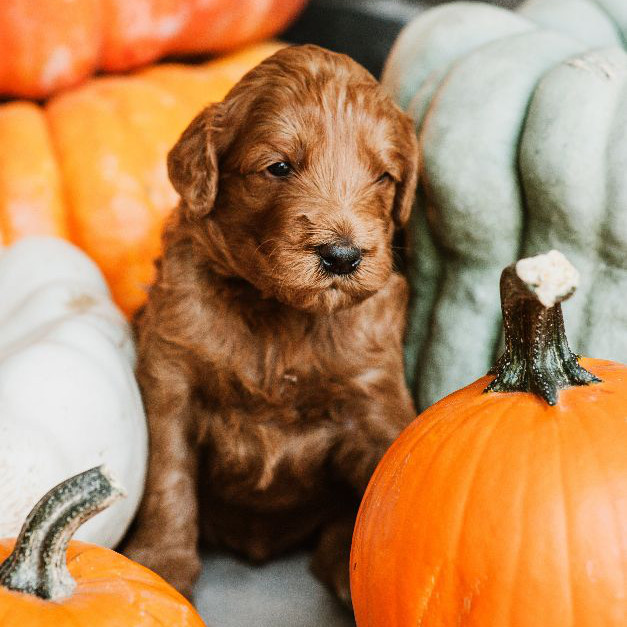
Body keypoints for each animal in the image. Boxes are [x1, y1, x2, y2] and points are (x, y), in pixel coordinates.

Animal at [122, 43, 418, 604]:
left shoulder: (373, 393)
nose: (342, 256)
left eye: (383, 177)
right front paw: (162, 564)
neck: (279, 313)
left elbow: (381, 478)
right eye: (279, 167)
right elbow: (167, 480)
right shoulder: (170, 376)